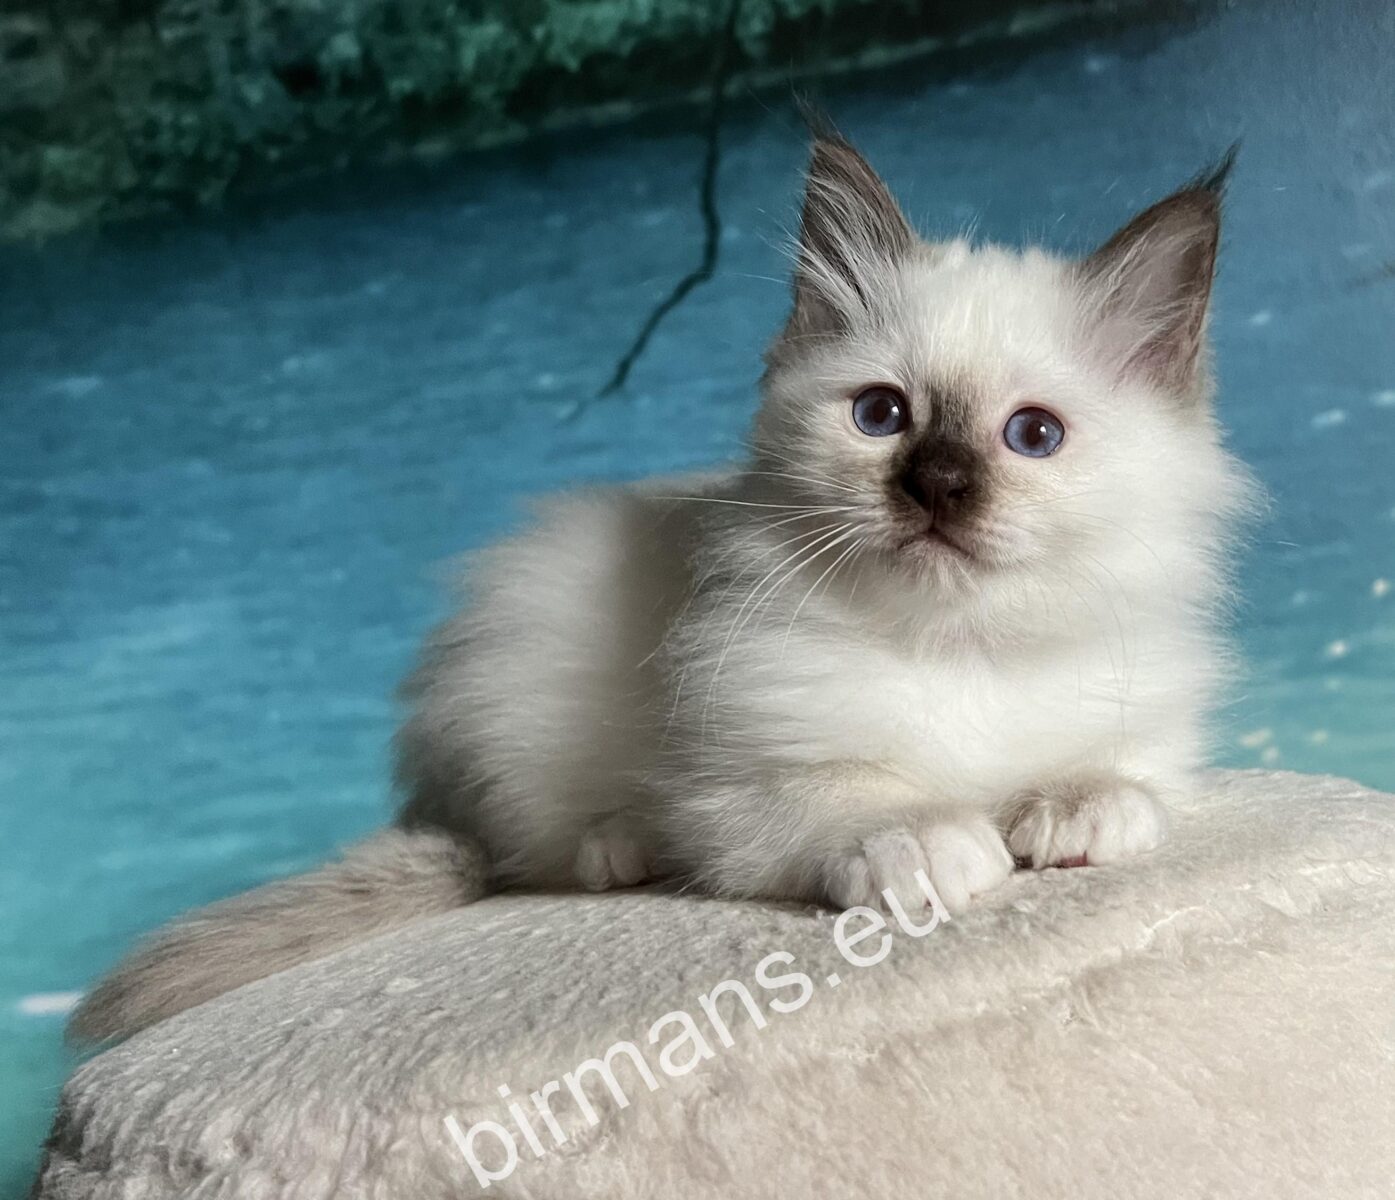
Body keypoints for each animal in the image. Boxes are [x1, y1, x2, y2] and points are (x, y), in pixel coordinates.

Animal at [71, 132, 1252, 1043]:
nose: (937, 487)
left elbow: (1117, 779)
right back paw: (616, 850)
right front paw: (934, 844)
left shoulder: (1142, 732)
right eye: (882, 417)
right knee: (532, 848)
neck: (957, 646)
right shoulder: (738, 794)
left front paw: (1074, 816)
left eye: (1032, 437)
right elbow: (861, 796)